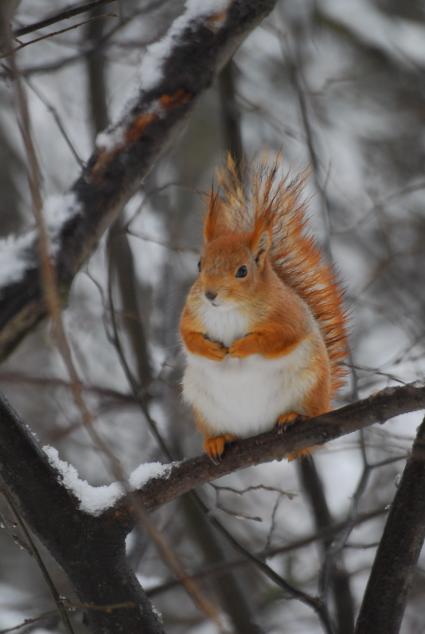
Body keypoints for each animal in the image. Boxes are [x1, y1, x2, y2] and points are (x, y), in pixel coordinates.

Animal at [180, 156, 348, 456]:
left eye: (242, 271)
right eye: (199, 264)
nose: (210, 295)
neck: (229, 310)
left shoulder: (287, 315)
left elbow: (279, 338)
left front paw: (241, 346)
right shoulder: (192, 313)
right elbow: (187, 336)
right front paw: (211, 350)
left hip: (308, 386)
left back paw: (293, 416)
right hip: (204, 407)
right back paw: (217, 440)